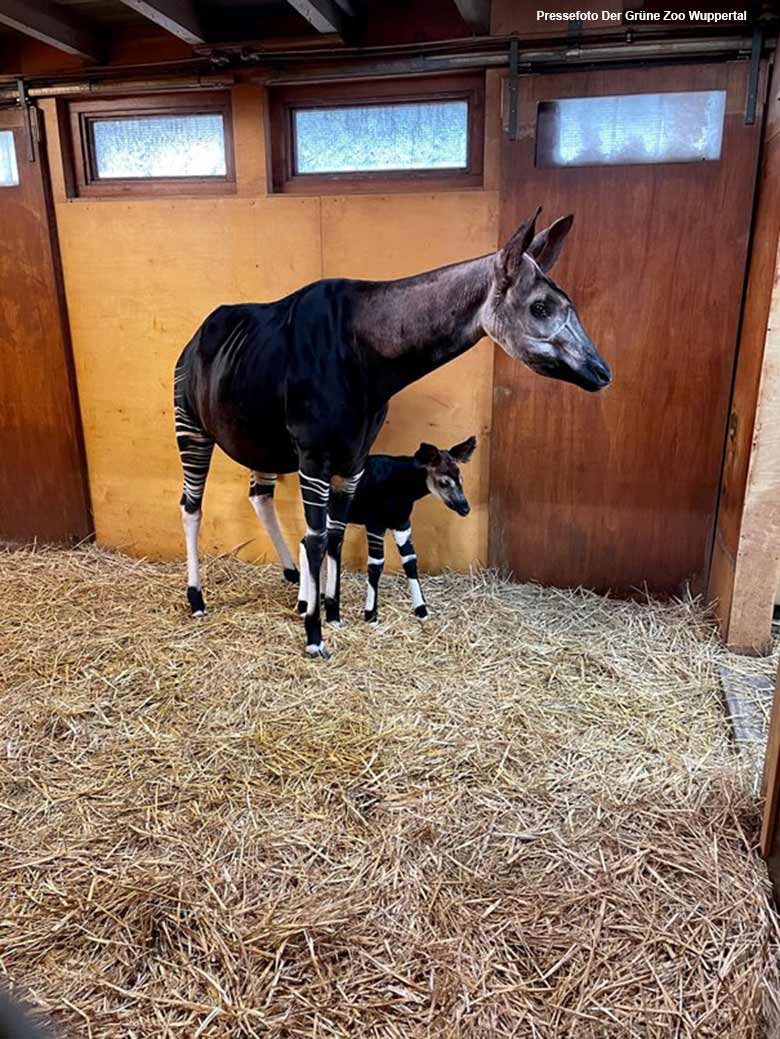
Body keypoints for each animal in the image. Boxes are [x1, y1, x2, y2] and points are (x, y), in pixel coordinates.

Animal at [297, 436, 475, 623]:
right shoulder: (376, 524)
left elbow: (410, 562)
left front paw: (421, 609)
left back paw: (321, 597)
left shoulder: (402, 523)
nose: (465, 508)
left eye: (461, 480)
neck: (401, 487)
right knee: (308, 544)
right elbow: (376, 564)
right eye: (443, 483)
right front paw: (370, 614)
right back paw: (304, 605)